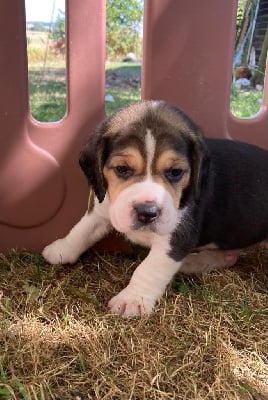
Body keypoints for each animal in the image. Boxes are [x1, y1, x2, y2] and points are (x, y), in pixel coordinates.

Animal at [42, 100, 268, 316]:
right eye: (122, 169)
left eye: (175, 172)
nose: (147, 213)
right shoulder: (103, 209)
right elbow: (82, 230)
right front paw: (61, 250)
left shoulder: (177, 237)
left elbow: (149, 268)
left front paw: (132, 300)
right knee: (229, 257)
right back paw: (193, 263)